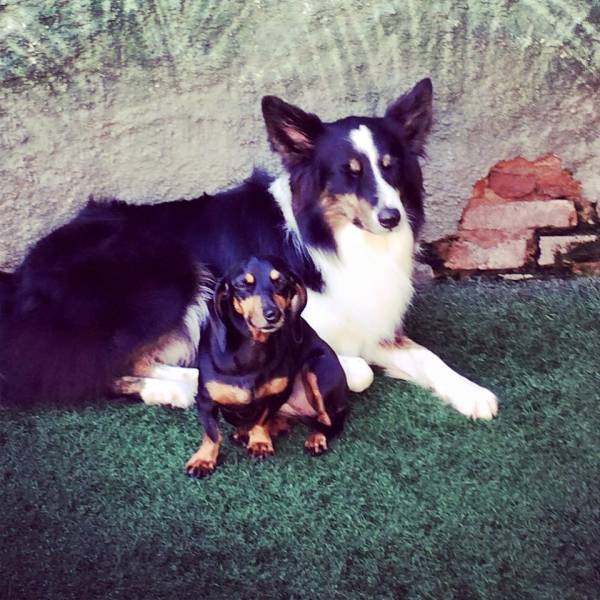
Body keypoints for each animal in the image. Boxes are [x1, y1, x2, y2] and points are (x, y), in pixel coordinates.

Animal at [0, 77, 496, 420]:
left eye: (390, 168)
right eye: (349, 172)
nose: (392, 217)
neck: (332, 240)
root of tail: (24, 275)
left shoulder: (371, 321)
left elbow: (425, 356)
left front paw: (471, 393)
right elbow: (357, 370)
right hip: (168, 274)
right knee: (90, 371)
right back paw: (181, 387)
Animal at [186, 256, 346, 478]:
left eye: (281, 282)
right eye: (243, 284)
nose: (273, 314)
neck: (252, 350)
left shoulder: (277, 394)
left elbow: (262, 419)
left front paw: (260, 442)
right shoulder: (205, 401)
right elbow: (212, 434)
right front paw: (203, 460)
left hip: (317, 371)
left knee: (328, 421)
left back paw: (316, 438)